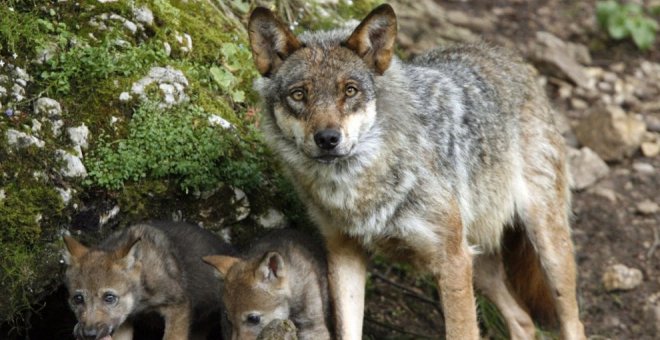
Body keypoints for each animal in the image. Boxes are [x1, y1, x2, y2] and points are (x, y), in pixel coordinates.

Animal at [246, 3, 584, 340]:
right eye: (298, 95)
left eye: (350, 91)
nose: (328, 139)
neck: (357, 187)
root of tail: (508, 57)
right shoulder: (344, 252)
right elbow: (348, 328)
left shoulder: (452, 261)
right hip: (479, 262)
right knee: (524, 320)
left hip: (546, 249)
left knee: (573, 322)